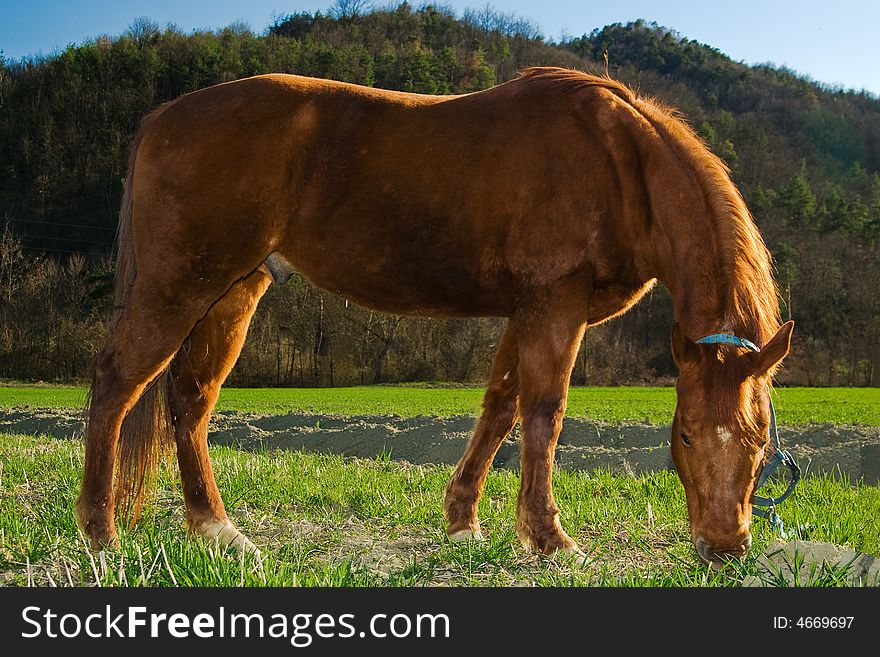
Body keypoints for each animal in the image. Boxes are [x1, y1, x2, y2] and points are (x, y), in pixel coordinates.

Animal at [72, 68, 796, 568]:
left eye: (760, 441)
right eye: (686, 437)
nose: (724, 546)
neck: (620, 162)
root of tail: (163, 117)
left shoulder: (528, 310)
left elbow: (500, 407)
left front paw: (463, 521)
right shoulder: (555, 303)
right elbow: (544, 412)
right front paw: (549, 538)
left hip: (233, 291)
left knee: (189, 396)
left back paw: (217, 529)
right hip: (178, 286)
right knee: (117, 383)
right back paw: (101, 534)